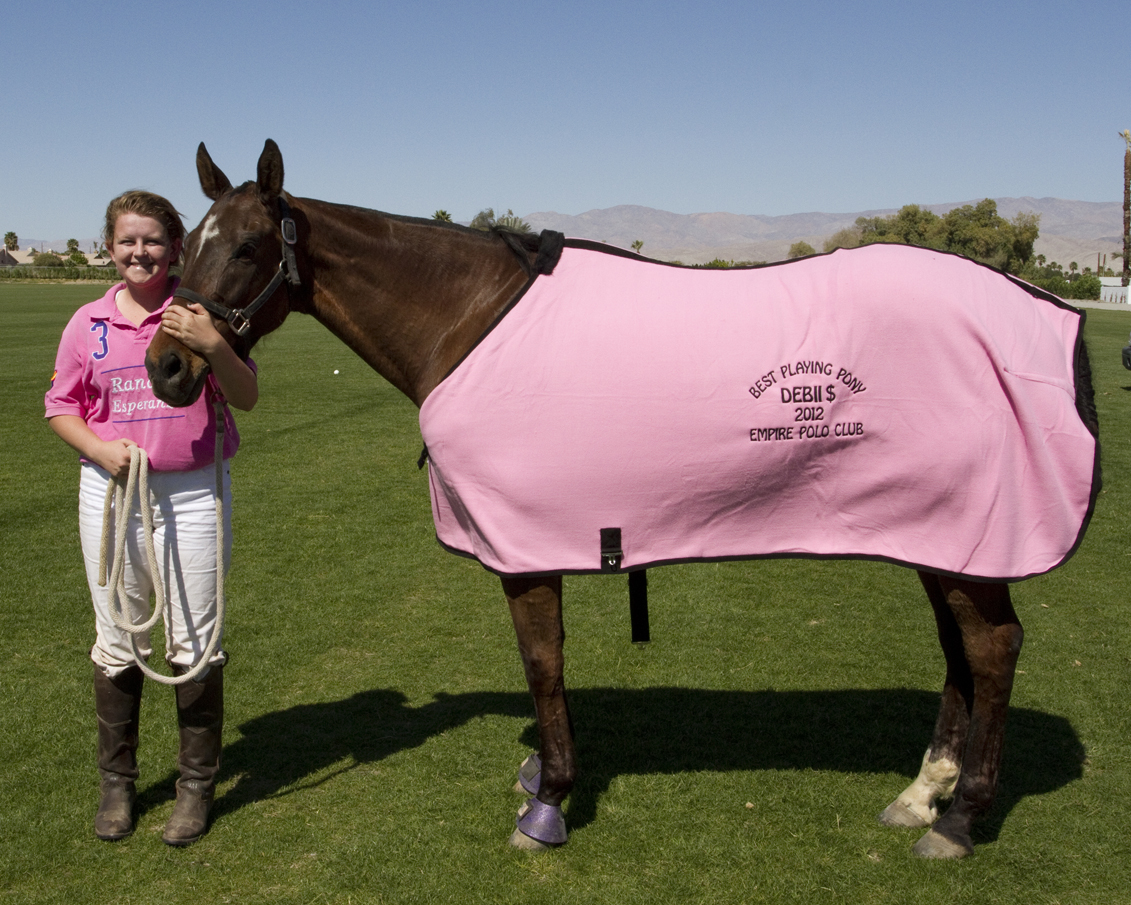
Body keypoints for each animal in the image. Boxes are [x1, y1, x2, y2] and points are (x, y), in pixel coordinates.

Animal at [146, 139, 1100, 859]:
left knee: (992, 647)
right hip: (941, 533)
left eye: (245, 247)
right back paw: (922, 793)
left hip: (971, 534)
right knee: (961, 651)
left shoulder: (525, 547)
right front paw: (543, 777)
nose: (166, 366)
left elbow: (542, 663)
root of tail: (1039, 311)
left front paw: (547, 802)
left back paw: (962, 818)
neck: (469, 317)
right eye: (183, 246)